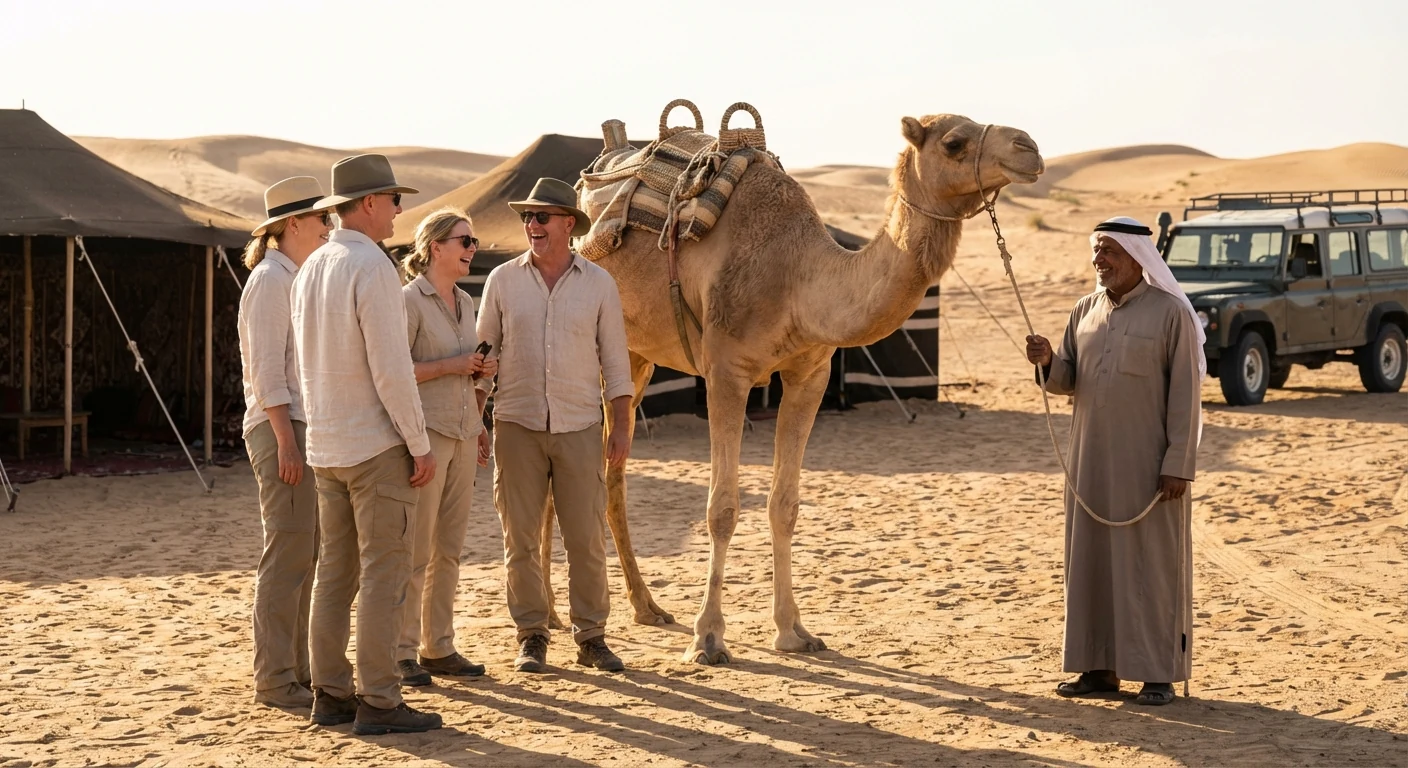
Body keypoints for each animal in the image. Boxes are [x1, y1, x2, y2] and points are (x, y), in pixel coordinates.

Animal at [541, 113, 1044, 663]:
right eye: (954, 143)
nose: (1030, 148)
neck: (797, 278)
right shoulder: (726, 371)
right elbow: (722, 508)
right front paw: (708, 638)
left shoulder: (810, 376)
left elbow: (785, 506)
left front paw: (793, 631)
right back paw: (551, 612)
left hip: (636, 356)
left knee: (607, 470)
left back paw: (645, 607)